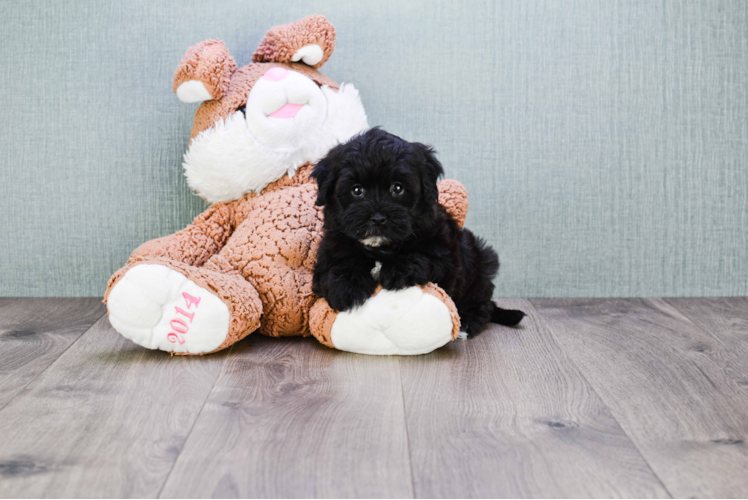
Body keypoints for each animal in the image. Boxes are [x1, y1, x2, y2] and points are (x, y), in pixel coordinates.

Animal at [310, 128, 524, 336]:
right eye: (356, 190)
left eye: (397, 188)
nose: (377, 218)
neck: (381, 248)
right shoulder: (331, 250)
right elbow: (337, 267)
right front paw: (348, 288)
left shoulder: (447, 257)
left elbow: (423, 257)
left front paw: (398, 268)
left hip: (480, 262)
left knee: (481, 301)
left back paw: (468, 322)